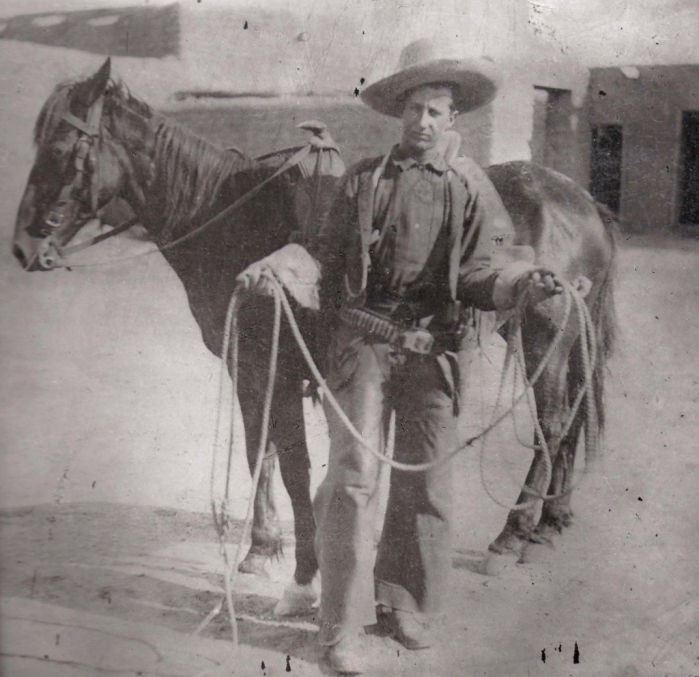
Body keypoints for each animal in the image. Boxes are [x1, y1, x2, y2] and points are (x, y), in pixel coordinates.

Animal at [12, 59, 616, 616]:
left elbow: (293, 464)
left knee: (552, 423)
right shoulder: (250, 366)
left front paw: (303, 571)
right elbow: (262, 451)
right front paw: (262, 550)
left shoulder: (270, 366)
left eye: (62, 147)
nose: (23, 247)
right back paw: (549, 522)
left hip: (545, 337)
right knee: (569, 418)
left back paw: (512, 535)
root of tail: (583, 200)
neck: (236, 219)